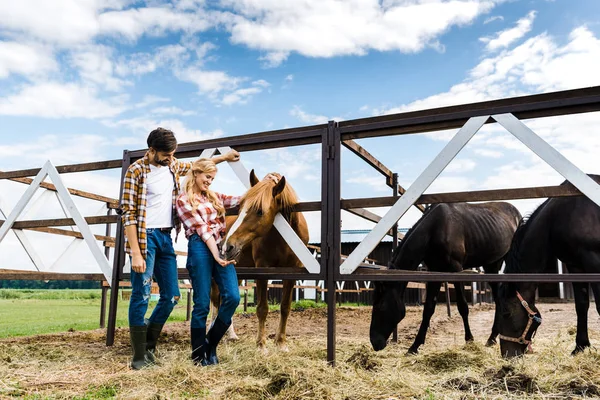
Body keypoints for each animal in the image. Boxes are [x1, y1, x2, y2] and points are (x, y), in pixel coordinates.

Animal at [216, 170, 308, 352]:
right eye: (240, 208)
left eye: (259, 211)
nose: (226, 246)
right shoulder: (262, 270)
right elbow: (262, 308)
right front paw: (261, 345)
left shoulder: (292, 271)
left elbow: (285, 307)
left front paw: (281, 343)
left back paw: (230, 335)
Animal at [368, 202, 524, 354]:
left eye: (381, 306)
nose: (375, 342)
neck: (434, 230)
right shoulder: (435, 272)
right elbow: (428, 309)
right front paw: (415, 346)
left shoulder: (456, 270)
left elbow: (463, 306)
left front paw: (469, 339)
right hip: (491, 265)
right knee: (498, 298)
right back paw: (492, 338)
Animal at [496, 177, 600, 358]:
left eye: (506, 313)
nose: (507, 355)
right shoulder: (576, 266)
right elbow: (581, 305)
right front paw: (580, 346)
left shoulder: (594, 261)